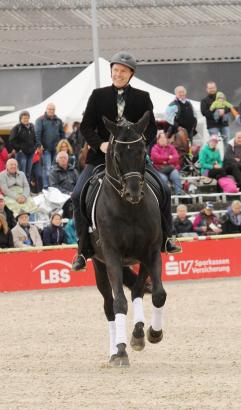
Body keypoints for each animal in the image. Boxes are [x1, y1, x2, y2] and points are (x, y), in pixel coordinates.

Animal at [89, 110, 167, 366]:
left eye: (143, 151)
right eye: (116, 154)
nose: (134, 192)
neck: (129, 208)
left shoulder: (151, 251)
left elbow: (158, 294)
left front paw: (151, 333)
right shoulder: (112, 255)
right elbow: (119, 302)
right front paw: (121, 350)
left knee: (137, 291)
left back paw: (139, 333)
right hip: (98, 264)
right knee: (109, 305)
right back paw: (114, 350)